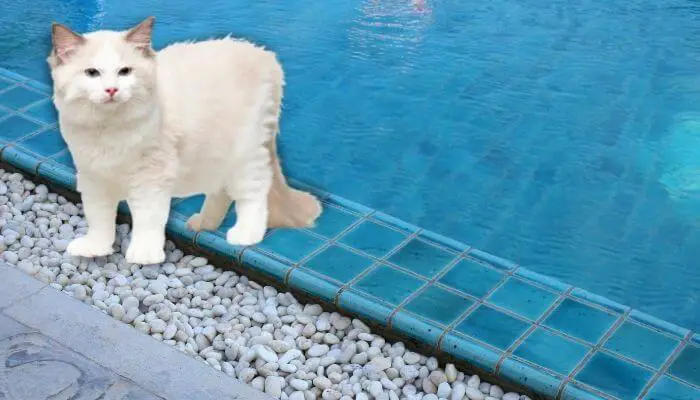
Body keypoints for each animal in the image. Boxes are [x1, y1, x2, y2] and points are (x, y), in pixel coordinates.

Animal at [47, 17, 322, 264]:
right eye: (92, 73)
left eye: (124, 72)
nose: (111, 90)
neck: (109, 129)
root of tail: (266, 56)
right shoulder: (93, 177)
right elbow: (99, 219)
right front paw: (96, 249)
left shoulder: (150, 178)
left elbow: (147, 219)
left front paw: (144, 256)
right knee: (222, 191)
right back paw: (204, 224)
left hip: (245, 154)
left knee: (254, 190)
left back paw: (245, 234)